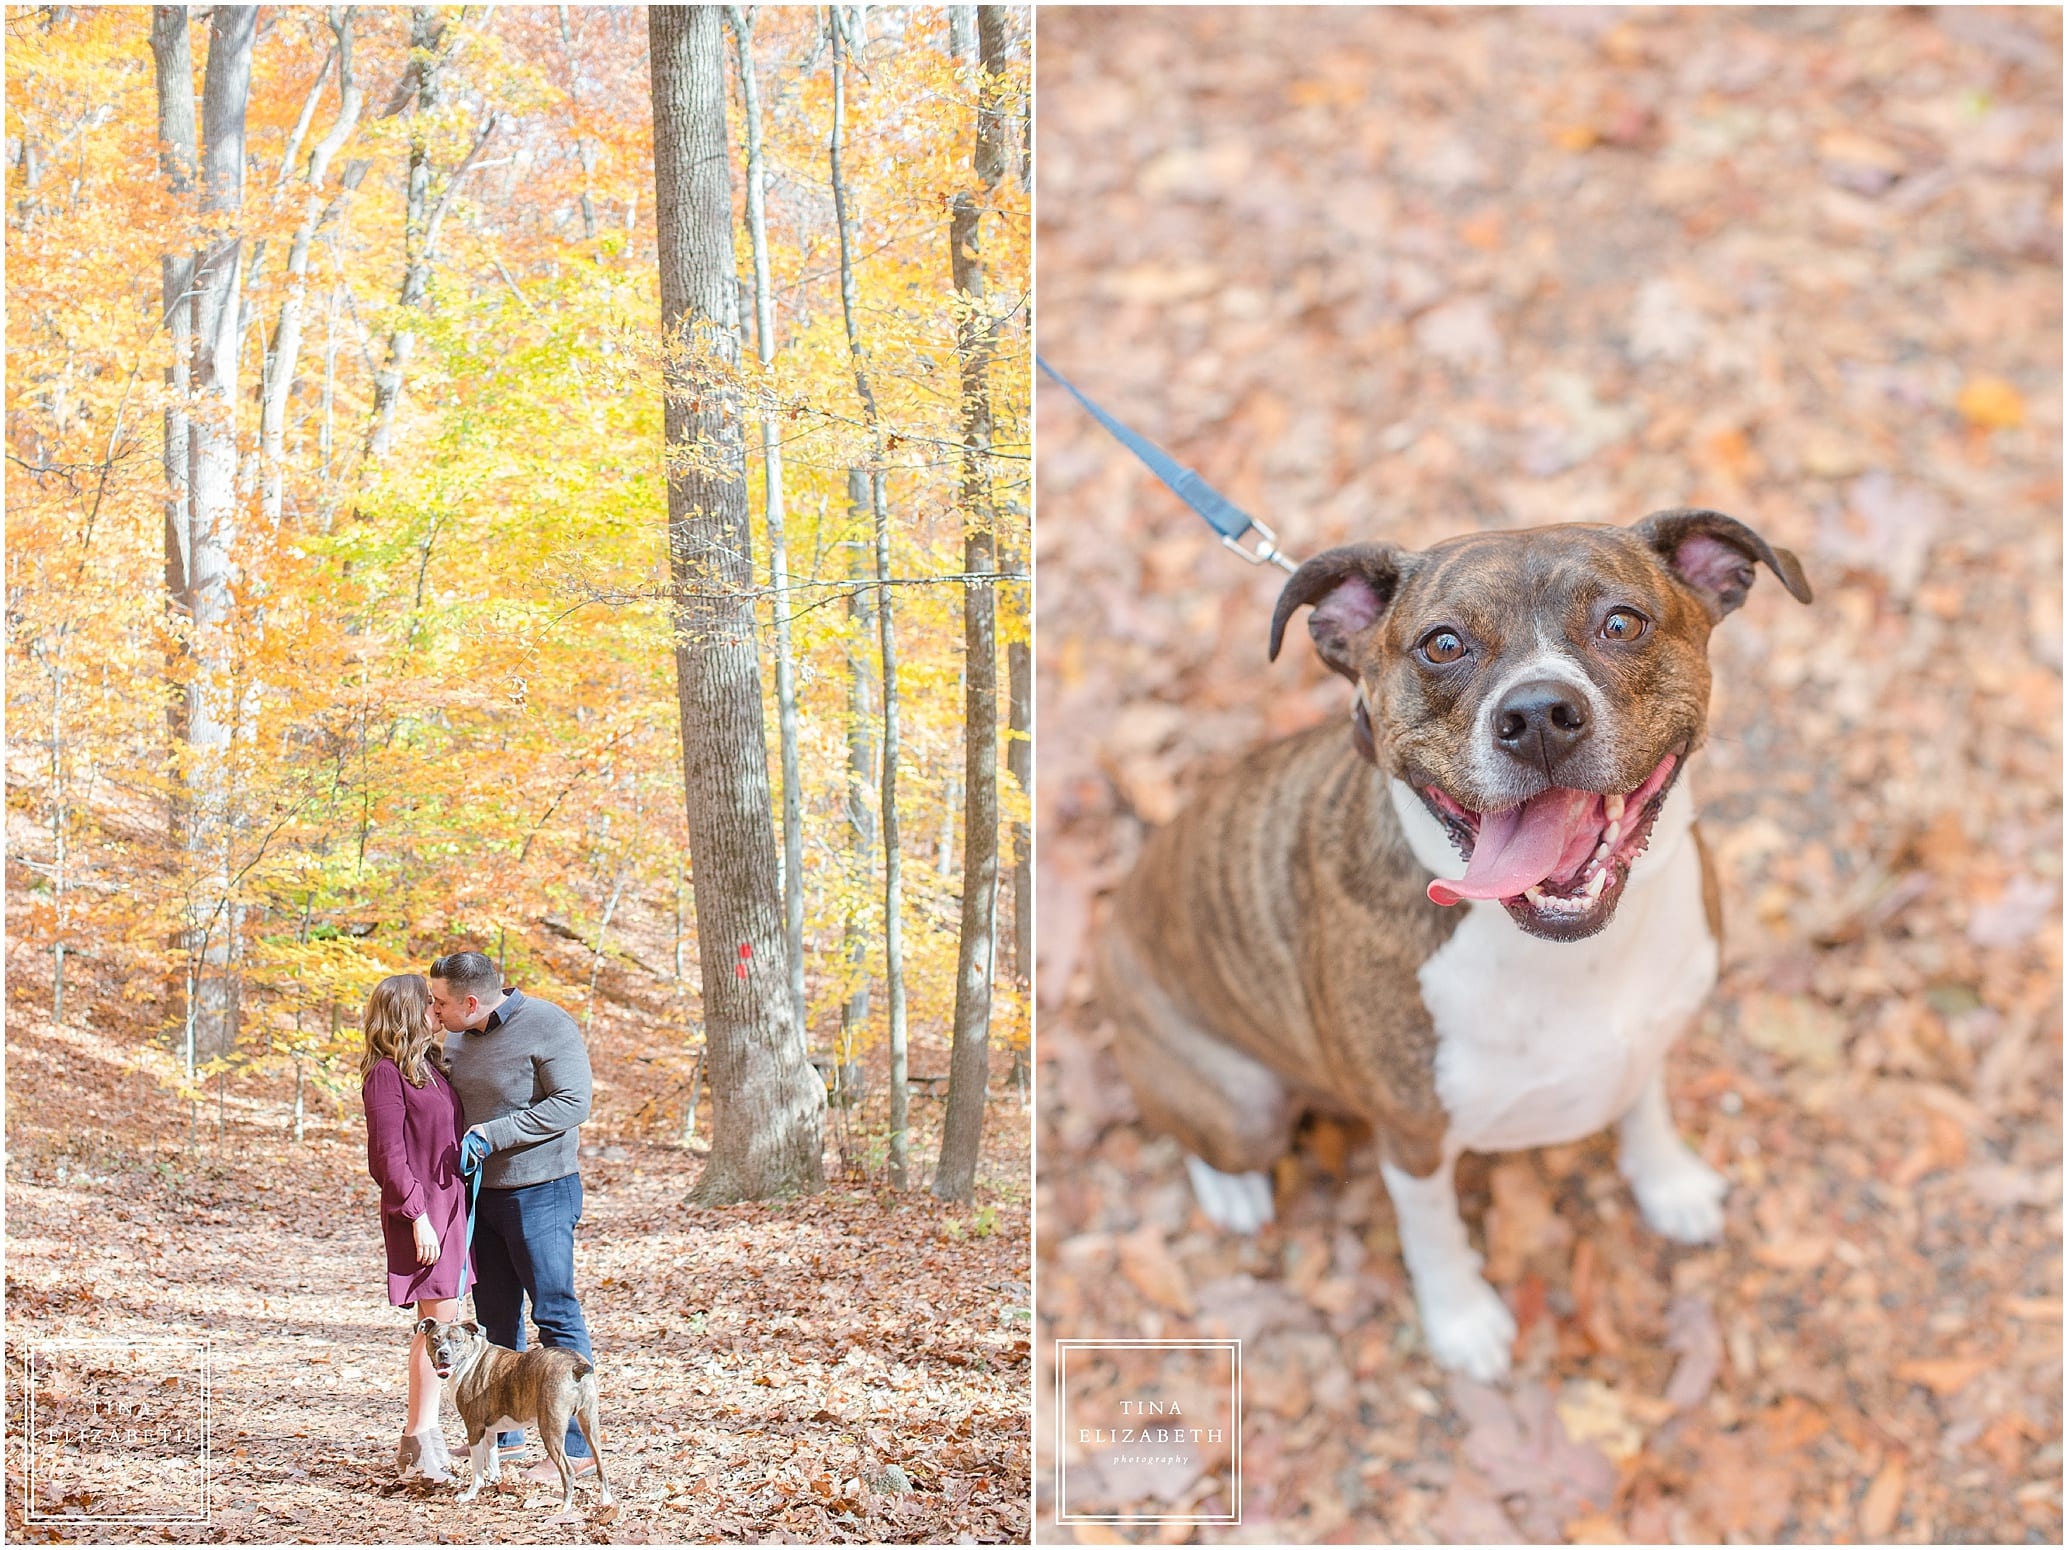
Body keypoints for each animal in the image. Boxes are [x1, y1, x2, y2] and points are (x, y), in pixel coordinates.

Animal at [1100, 510, 1811, 1380]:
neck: (1563, 953)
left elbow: (1645, 1108)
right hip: (1241, 1106)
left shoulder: (1649, 1038)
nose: (1538, 716)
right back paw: (1234, 1189)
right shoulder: (1413, 1139)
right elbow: (1433, 1234)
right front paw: (1463, 1321)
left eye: (1623, 623)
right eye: (1442, 644)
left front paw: (1668, 1183)